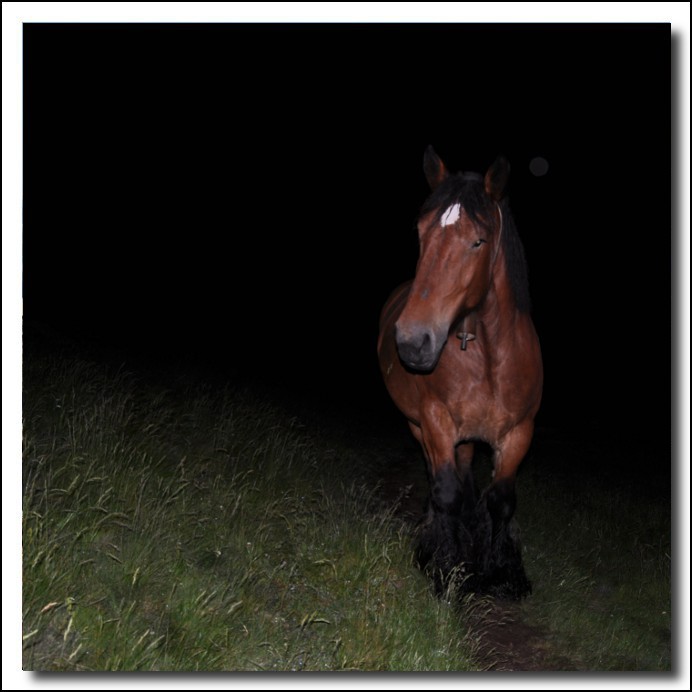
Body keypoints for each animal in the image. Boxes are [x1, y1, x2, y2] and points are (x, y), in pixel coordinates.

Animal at [376, 147, 544, 600]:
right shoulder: (436, 423)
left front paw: (504, 572)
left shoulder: (518, 433)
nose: (413, 341)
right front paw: (447, 568)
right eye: (421, 234)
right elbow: (446, 491)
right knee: (439, 475)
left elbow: (501, 499)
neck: (487, 357)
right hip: (419, 426)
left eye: (478, 241)